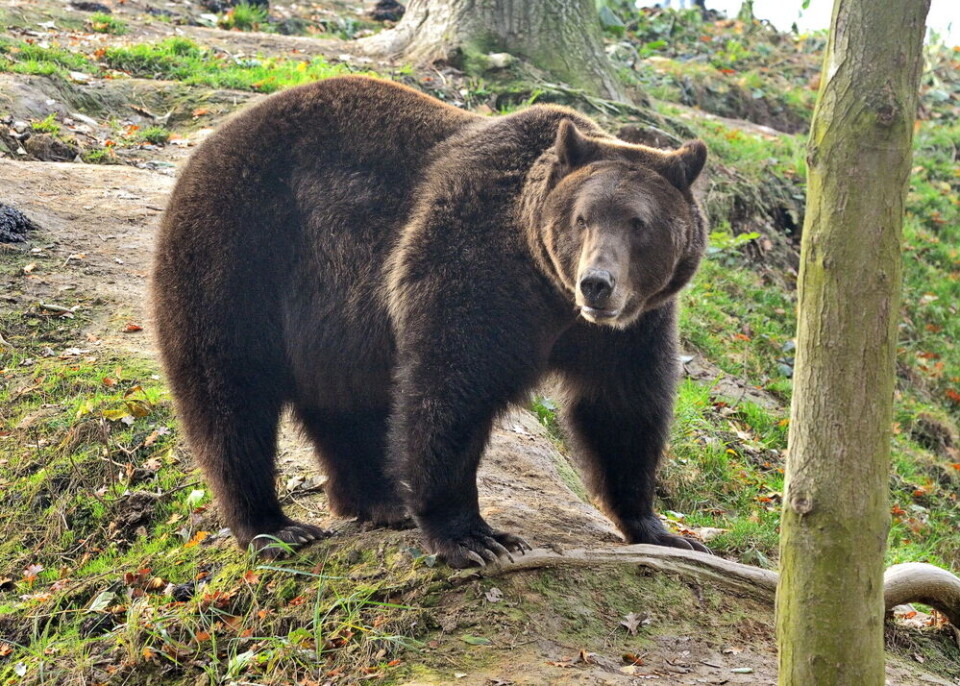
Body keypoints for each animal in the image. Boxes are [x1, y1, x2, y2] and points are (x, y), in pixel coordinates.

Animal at [154, 75, 708, 568]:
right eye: (582, 218)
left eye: (638, 223)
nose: (597, 283)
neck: (549, 288)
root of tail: (211, 140)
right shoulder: (475, 267)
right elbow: (450, 388)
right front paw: (473, 537)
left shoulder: (630, 328)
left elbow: (622, 409)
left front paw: (663, 530)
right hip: (238, 255)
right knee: (230, 398)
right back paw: (273, 527)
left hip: (327, 321)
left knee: (346, 404)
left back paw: (380, 501)